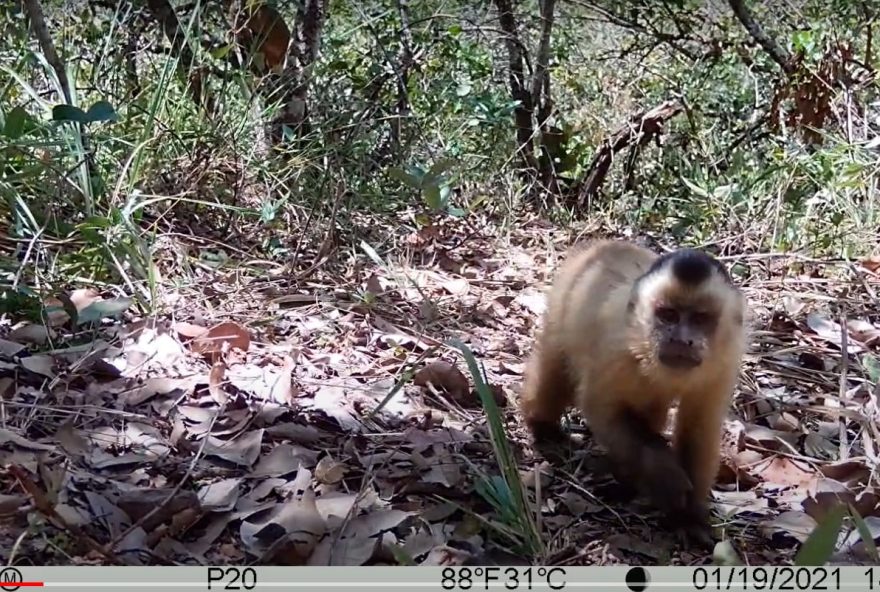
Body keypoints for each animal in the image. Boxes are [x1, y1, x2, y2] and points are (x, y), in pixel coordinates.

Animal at [520, 238, 744, 544]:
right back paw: (543, 426)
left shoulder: (724, 361)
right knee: (556, 369)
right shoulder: (617, 349)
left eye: (700, 319)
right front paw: (663, 472)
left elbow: (700, 428)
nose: (681, 340)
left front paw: (689, 516)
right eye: (668, 315)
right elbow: (600, 409)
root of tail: (602, 245)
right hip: (563, 299)